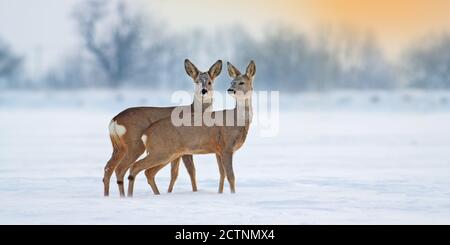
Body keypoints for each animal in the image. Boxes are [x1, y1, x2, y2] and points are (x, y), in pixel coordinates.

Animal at [104, 59, 223, 197]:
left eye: (210, 81)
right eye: (197, 81)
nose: (204, 91)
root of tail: (114, 120)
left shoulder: (178, 152)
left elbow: (175, 173)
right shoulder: (185, 150)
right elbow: (191, 171)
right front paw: (194, 191)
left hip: (119, 147)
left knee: (108, 168)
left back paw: (108, 195)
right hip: (135, 145)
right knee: (121, 169)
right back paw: (125, 196)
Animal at [126, 61, 256, 197]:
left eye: (241, 82)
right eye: (232, 82)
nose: (230, 89)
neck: (237, 121)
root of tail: (146, 133)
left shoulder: (219, 150)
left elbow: (222, 175)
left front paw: (220, 194)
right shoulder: (226, 147)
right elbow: (231, 176)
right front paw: (233, 195)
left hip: (169, 153)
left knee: (148, 172)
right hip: (161, 151)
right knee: (136, 166)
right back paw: (130, 196)